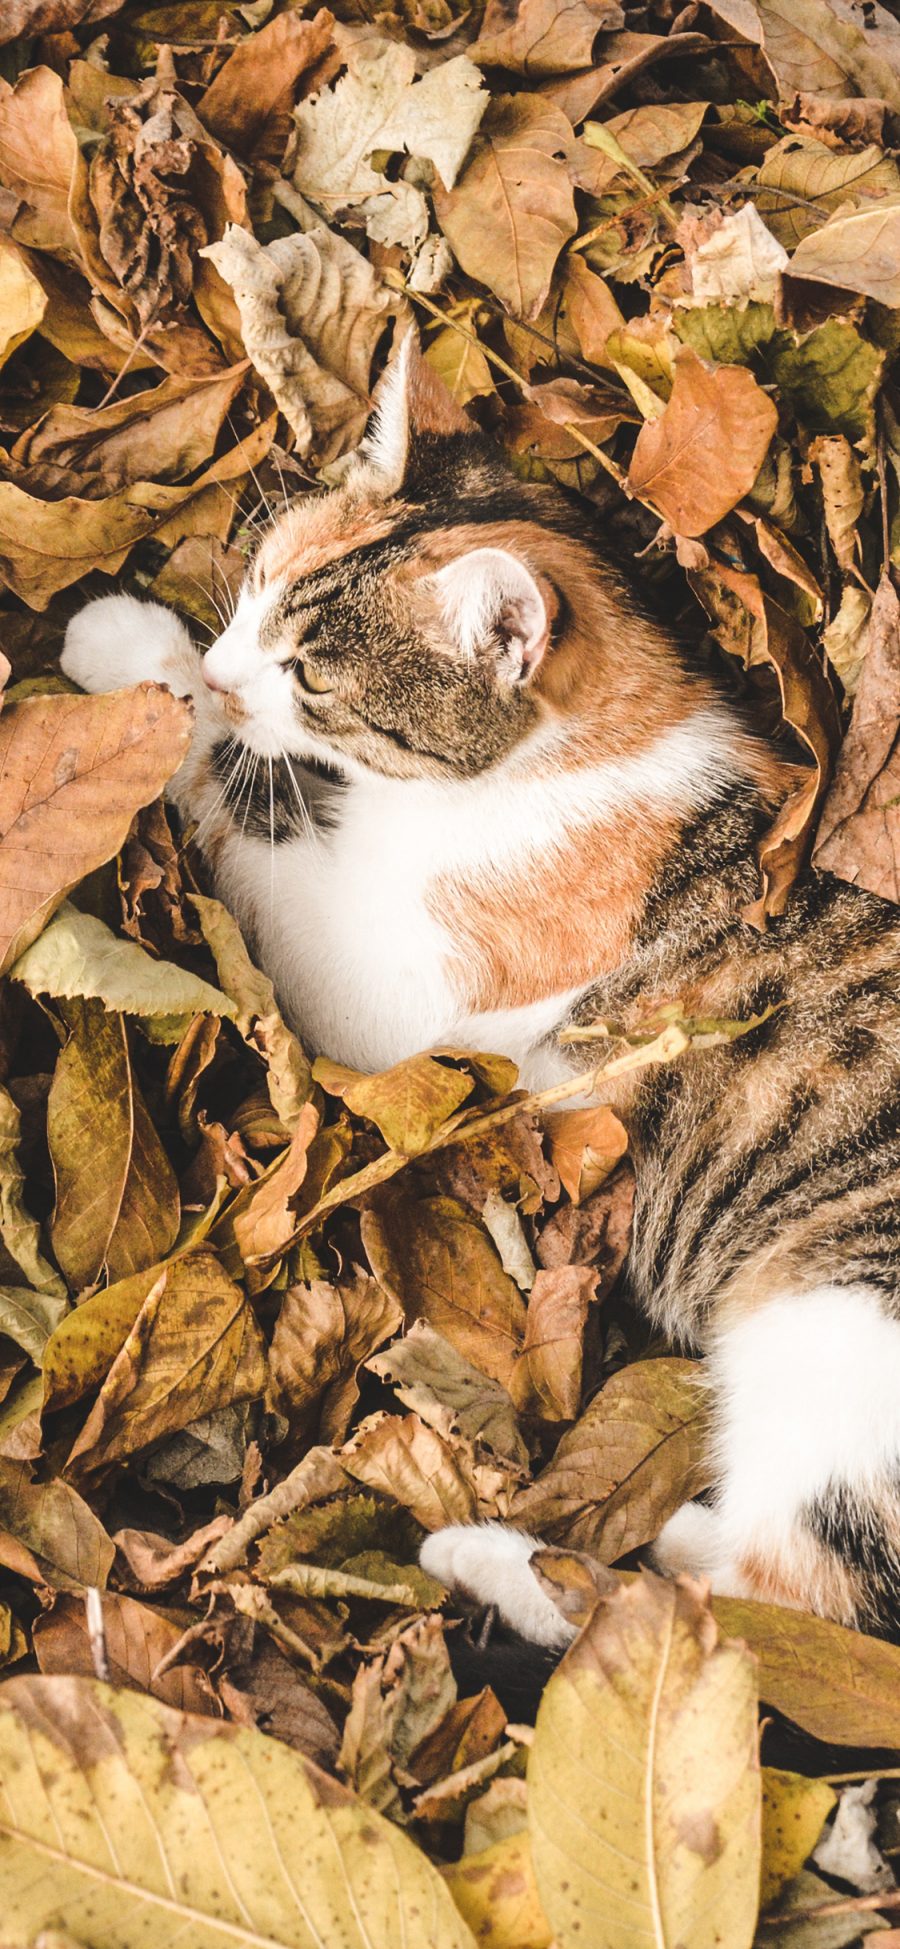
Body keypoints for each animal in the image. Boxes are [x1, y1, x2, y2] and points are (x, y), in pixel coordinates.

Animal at [65, 339, 900, 1660]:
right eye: (255, 582)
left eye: (312, 673)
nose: (221, 662)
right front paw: (164, 666)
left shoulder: (390, 989)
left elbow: (249, 809)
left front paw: (147, 680)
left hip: (842, 1319)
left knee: (771, 1613)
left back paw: (503, 1562)